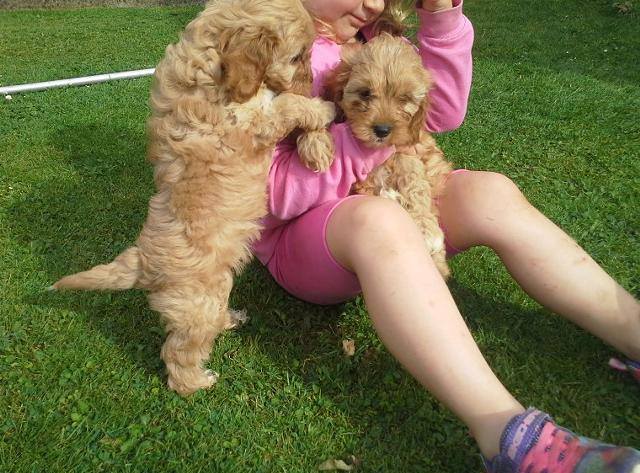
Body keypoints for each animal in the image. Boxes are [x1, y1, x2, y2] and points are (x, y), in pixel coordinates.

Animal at [50, 0, 336, 394]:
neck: (210, 69)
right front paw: (321, 108)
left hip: (214, 290)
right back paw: (197, 382)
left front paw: (317, 133)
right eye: (297, 56)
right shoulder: (249, 124)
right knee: (179, 353)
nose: (312, 84)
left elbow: (287, 107)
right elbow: (287, 105)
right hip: (196, 307)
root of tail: (141, 262)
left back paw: (231, 318)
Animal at [324, 35, 456, 278]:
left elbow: (414, 181)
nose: (382, 130)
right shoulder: (364, 180)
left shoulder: (410, 152)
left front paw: (426, 229)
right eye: (365, 93)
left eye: (404, 99)